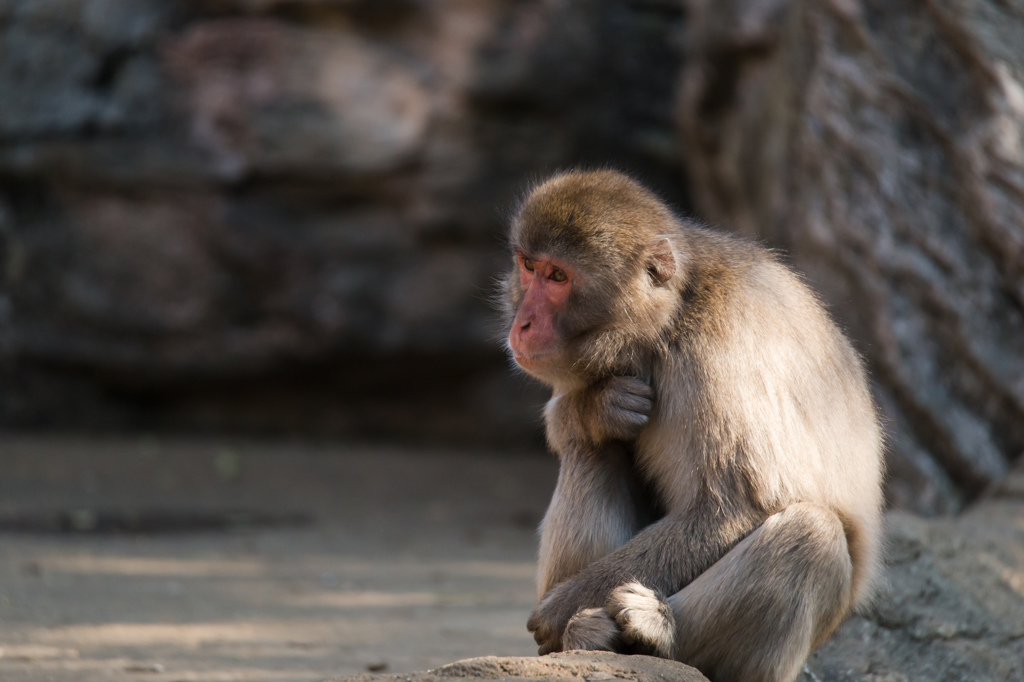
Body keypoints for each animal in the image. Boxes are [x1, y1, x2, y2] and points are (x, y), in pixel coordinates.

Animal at [499, 168, 884, 679]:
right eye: (528, 266)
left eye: (558, 276)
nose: (522, 324)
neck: (670, 318)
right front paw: (598, 406)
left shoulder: (718, 349)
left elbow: (734, 505)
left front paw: (558, 608)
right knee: (593, 450)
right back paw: (585, 638)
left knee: (812, 533)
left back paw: (652, 632)